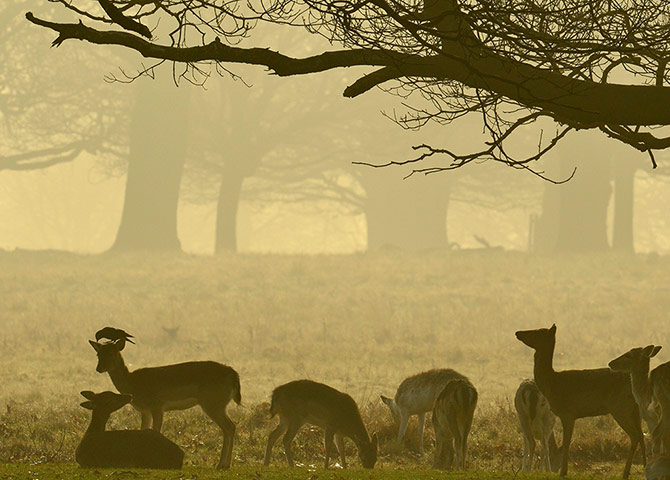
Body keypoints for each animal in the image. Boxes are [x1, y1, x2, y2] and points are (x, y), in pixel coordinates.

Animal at [89, 327, 241, 469]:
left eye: (112, 353)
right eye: (98, 354)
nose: (99, 368)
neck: (133, 385)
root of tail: (233, 374)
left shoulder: (157, 405)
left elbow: (156, 431)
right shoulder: (145, 410)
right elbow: (143, 430)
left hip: (213, 403)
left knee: (229, 427)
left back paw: (221, 465)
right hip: (218, 404)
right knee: (231, 427)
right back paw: (226, 464)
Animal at [515, 324, 645, 478]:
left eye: (536, 332)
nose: (517, 332)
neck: (551, 383)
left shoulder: (567, 413)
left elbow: (566, 443)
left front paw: (563, 472)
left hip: (620, 407)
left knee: (635, 435)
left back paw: (626, 473)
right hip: (634, 409)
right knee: (641, 434)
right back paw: (645, 466)